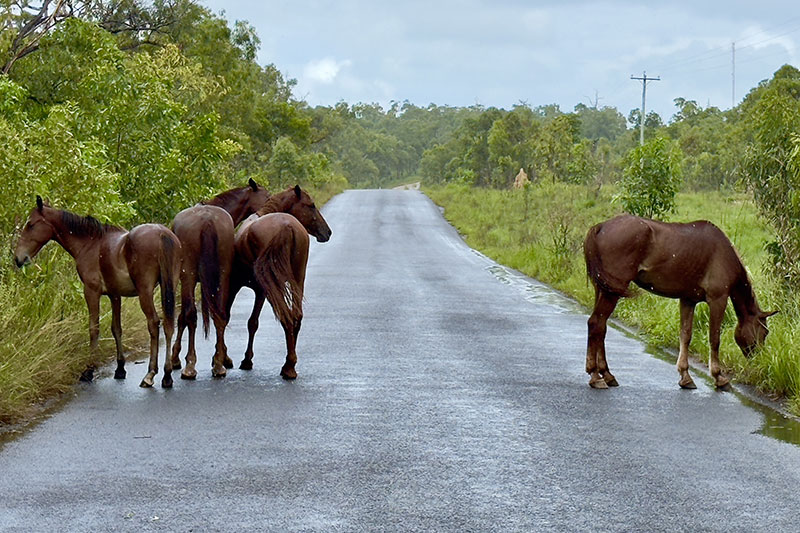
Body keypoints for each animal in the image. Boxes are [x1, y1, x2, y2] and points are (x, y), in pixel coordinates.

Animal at [14, 196, 181, 388]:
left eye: (31, 224)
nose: (18, 258)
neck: (90, 243)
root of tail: (162, 234)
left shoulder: (91, 291)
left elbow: (94, 328)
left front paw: (88, 370)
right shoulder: (115, 295)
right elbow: (116, 328)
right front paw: (120, 368)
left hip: (145, 292)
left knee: (154, 323)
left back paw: (150, 374)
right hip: (170, 287)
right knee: (169, 324)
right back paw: (167, 375)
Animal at [169, 178, 269, 380]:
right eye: (267, 196)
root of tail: (207, 221)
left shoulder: (186, 280)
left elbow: (183, 317)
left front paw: (175, 358)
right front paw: (223, 357)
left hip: (190, 276)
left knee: (192, 315)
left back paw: (190, 366)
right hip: (221, 275)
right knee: (219, 314)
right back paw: (217, 366)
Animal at [228, 185, 332, 379]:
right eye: (311, 205)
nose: (327, 232)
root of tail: (287, 226)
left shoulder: (241, 286)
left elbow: (243, 320)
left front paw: (242, 360)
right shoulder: (258, 290)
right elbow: (252, 322)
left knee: (286, 316)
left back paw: (288, 366)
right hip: (297, 278)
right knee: (295, 315)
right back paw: (290, 363)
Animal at [583, 214, 777, 390]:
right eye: (764, 332)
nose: (760, 360)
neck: (724, 253)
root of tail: (600, 227)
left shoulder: (688, 300)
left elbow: (685, 335)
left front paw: (685, 376)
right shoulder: (718, 300)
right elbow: (714, 338)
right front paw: (718, 377)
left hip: (603, 290)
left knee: (601, 328)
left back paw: (606, 374)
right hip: (611, 293)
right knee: (596, 324)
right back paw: (595, 376)